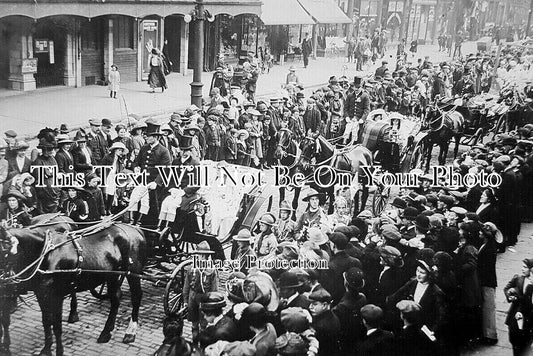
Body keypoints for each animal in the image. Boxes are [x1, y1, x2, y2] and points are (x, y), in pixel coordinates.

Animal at [0, 221, 145, 354]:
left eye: (4, 252)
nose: (4, 281)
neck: (44, 252)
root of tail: (135, 229)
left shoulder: (56, 296)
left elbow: (57, 325)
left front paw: (59, 351)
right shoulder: (41, 294)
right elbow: (46, 321)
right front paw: (46, 350)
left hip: (133, 272)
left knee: (136, 296)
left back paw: (130, 332)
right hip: (112, 276)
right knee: (116, 298)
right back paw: (105, 333)